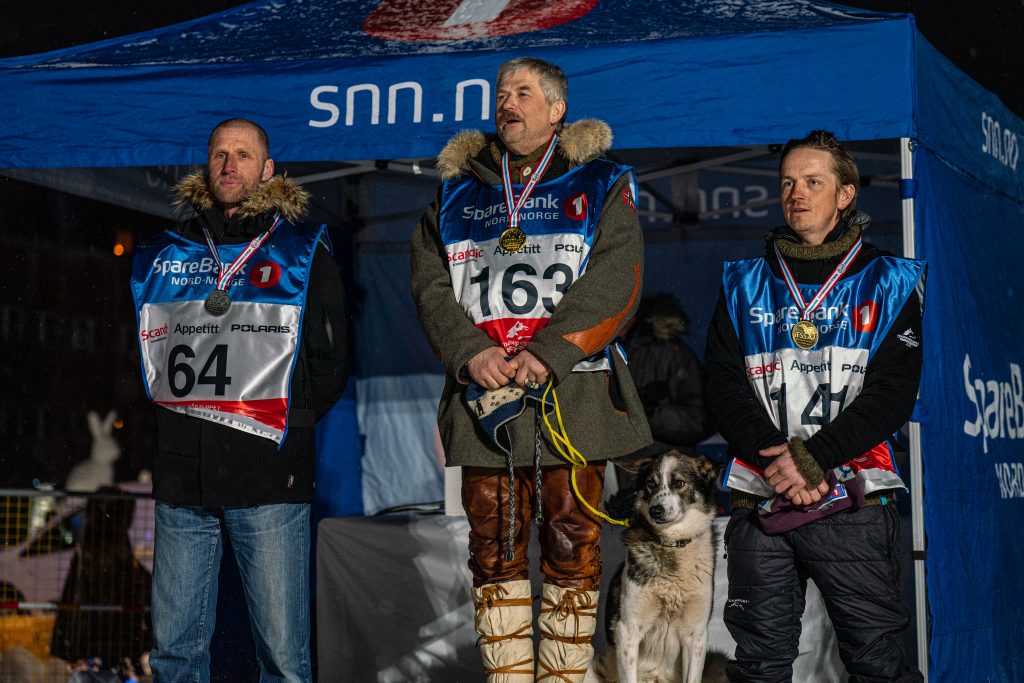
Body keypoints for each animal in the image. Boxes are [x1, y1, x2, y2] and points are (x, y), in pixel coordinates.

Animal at [598, 448, 724, 683]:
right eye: (650, 484)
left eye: (679, 483)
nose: (655, 511)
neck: (672, 545)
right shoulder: (627, 630)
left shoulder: (696, 635)